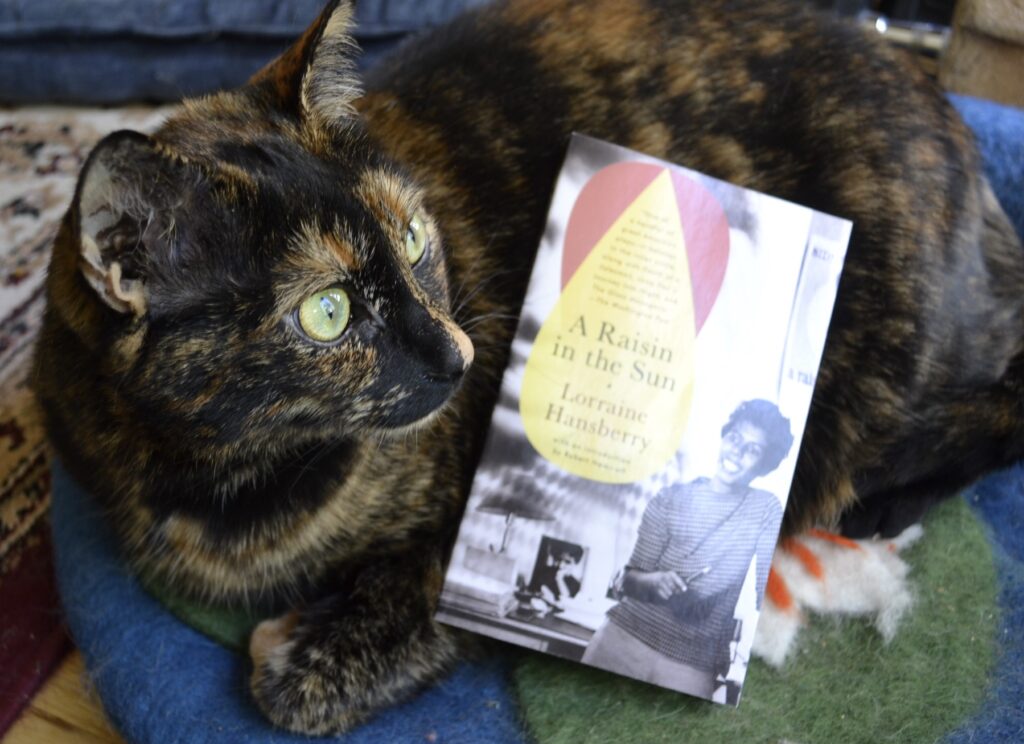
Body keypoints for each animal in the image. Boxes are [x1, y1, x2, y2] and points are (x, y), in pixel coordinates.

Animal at [32, 0, 1024, 732]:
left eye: (413, 236)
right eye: (326, 313)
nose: (462, 355)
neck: (231, 480)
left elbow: (337, 660)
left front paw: (294, 652)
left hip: (877, 382)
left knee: (996, 406)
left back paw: (878, 507)